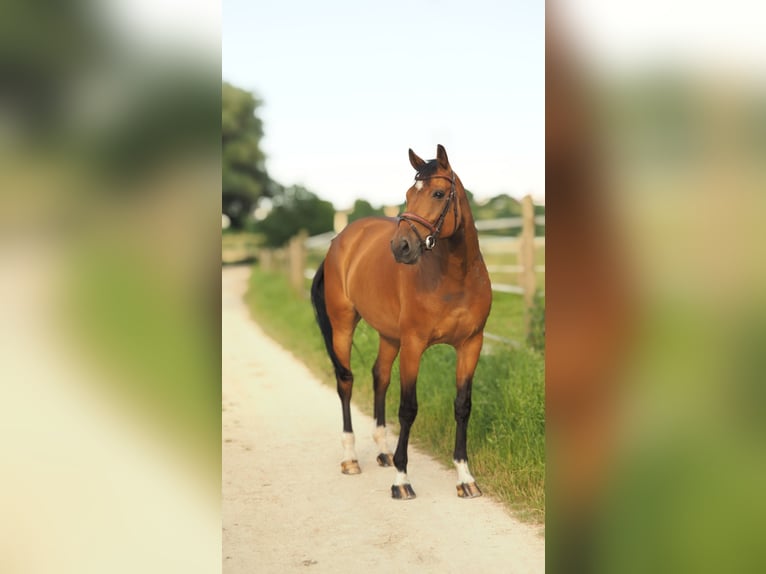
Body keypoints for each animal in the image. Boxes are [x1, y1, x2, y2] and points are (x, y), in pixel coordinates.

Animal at [310, 145, 492, 500]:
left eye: (438, 193)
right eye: (408, 194)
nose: (401, 247)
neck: (456, 278)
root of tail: (340, 240)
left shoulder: (471, 344)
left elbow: (462, 406)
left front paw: (465, 477)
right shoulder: (413, 345)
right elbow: (408, 408)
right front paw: (401, 480)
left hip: (388, 335)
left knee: (379, 376)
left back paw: (382, 450)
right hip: (343, 325)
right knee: (345, 381)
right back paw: (351, 458)